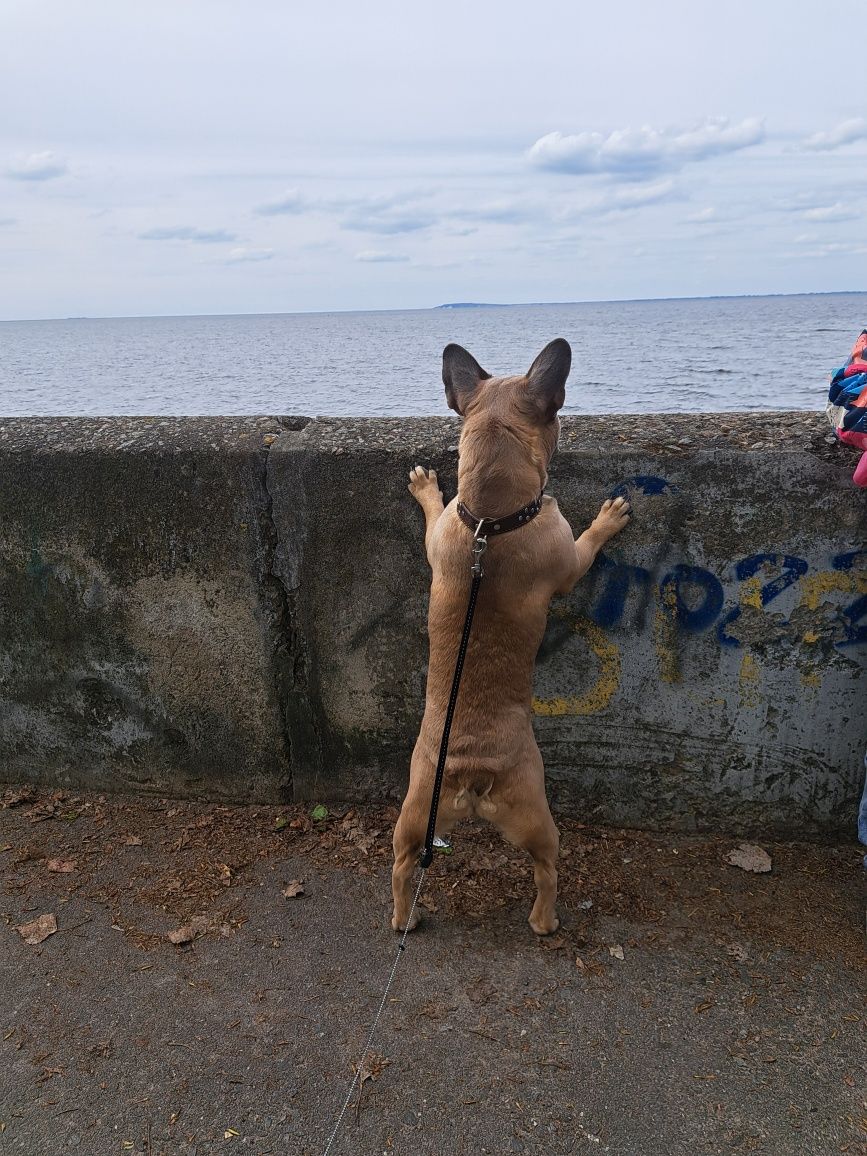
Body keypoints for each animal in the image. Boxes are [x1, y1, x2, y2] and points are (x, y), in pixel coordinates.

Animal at [393, 337, 633, 934]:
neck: (491, 513)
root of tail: (471, 772)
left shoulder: (440, 535)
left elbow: (432, 514)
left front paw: (427, 487)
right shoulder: (568, 560)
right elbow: (587, 544)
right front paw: (608, 518)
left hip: (414, 814)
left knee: (402, 867)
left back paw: (404, 918)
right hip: (536, 816)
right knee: (546, 867)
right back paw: (545, 919)